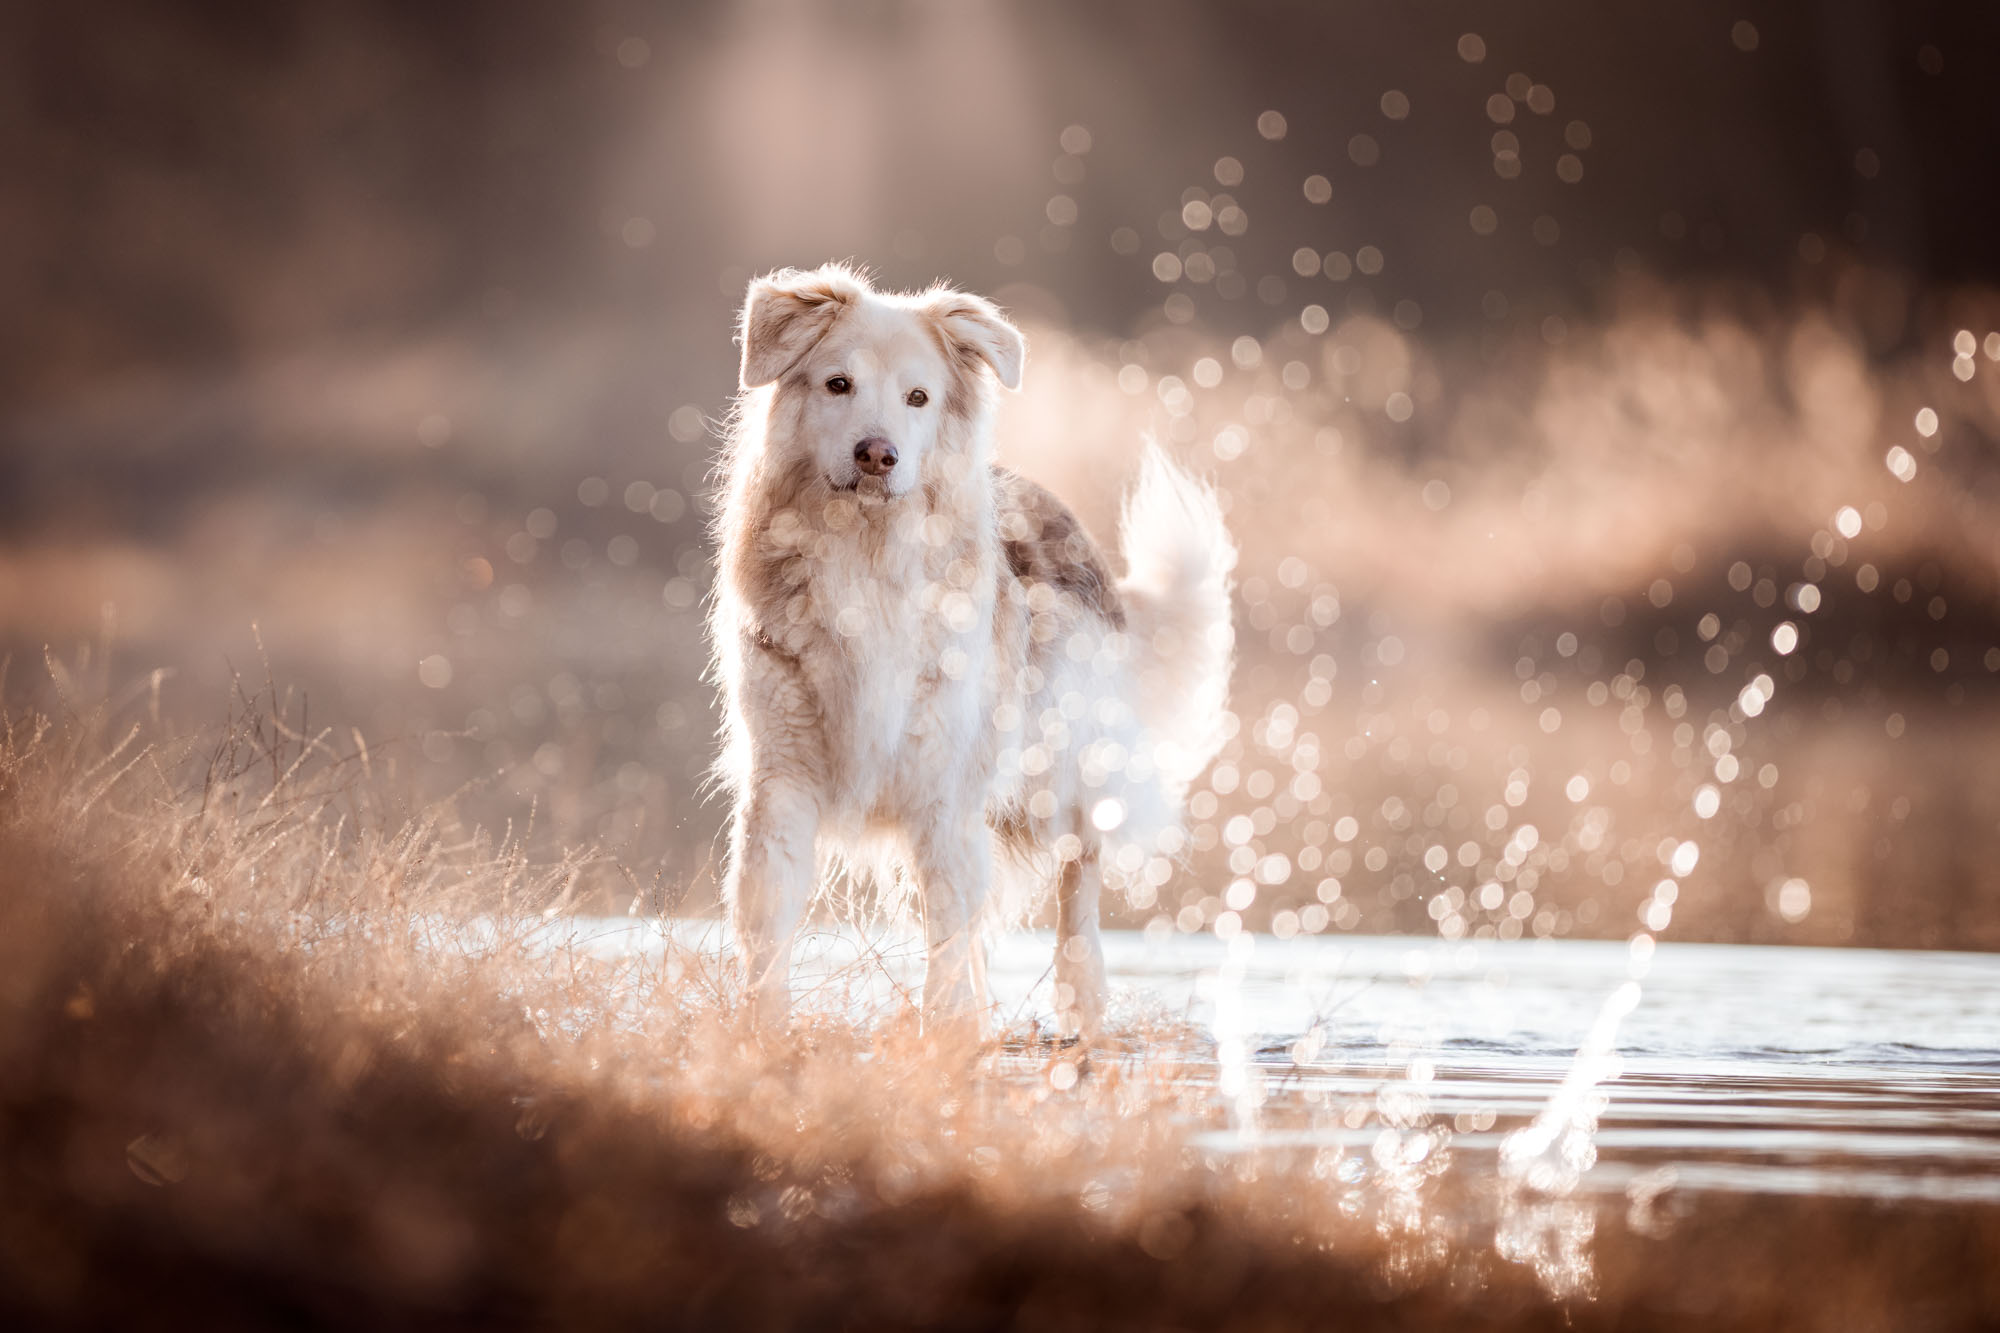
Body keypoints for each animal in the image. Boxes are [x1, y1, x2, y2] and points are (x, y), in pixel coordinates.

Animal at [704, 262, 1232, 1040]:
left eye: (919, 397)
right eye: (838, 384)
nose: (877, 454)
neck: (866, 556)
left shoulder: (944, 791)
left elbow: (950, 931)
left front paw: (945, 1035)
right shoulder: (782, 781)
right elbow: (769, 921)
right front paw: (760, 1031)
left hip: (1063, 777)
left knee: (1079, 886)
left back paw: (1081, 1003)